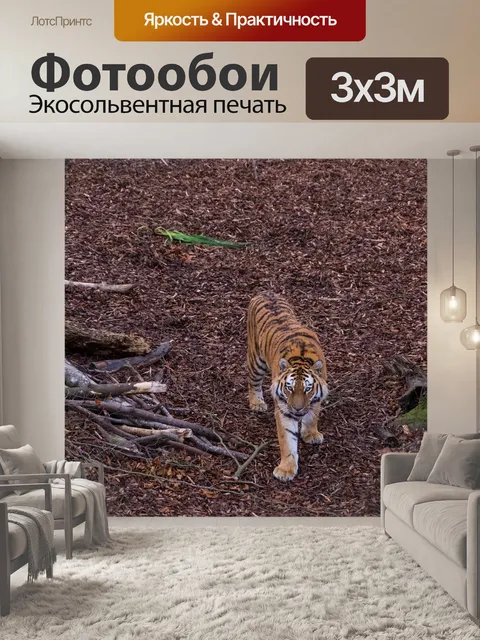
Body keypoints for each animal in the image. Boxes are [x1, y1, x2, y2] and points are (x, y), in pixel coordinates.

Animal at [247, 292, 329, 482]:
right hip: (256, 360)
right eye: (289, 388)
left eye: (308, 389)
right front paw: (286, 469)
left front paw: (311, 434)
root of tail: (265, 292)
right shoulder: (284, 409)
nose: (297, 409)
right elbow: (287, 440)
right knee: (253, 382)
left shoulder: (316, 399)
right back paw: (257, 403)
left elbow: (312, 417)